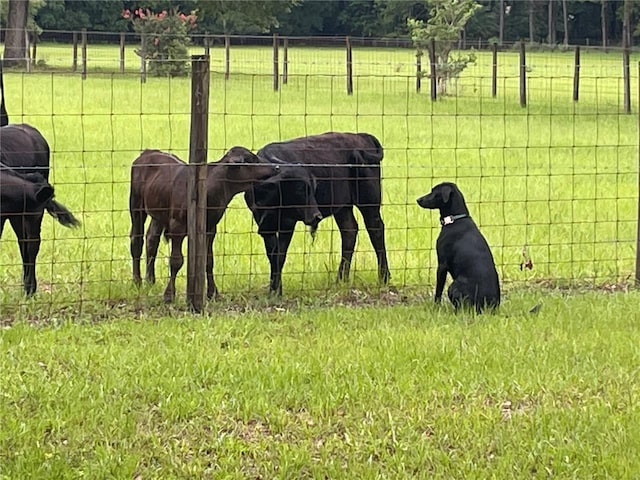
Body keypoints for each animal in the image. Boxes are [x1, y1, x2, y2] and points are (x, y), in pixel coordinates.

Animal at [249, 132, 390, 296]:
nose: (316, 216)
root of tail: (361, 136)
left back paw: (384, 277)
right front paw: (274, 288)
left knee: (376, 230)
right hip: (343, 206)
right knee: (349, 231)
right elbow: (272, 255)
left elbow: (280, 256)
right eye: (299, 188)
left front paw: (277, 291)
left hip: (369, 203)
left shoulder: (287, 223)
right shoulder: (263, 223)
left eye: (312, 187)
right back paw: (341, 280)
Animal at [416, 182, 500, 314]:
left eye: (434, 192)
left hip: (453, 286)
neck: (455, 219)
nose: (418, 199)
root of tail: (489, 307)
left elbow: (438, 291)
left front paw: (435, 307)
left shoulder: (442, 264)